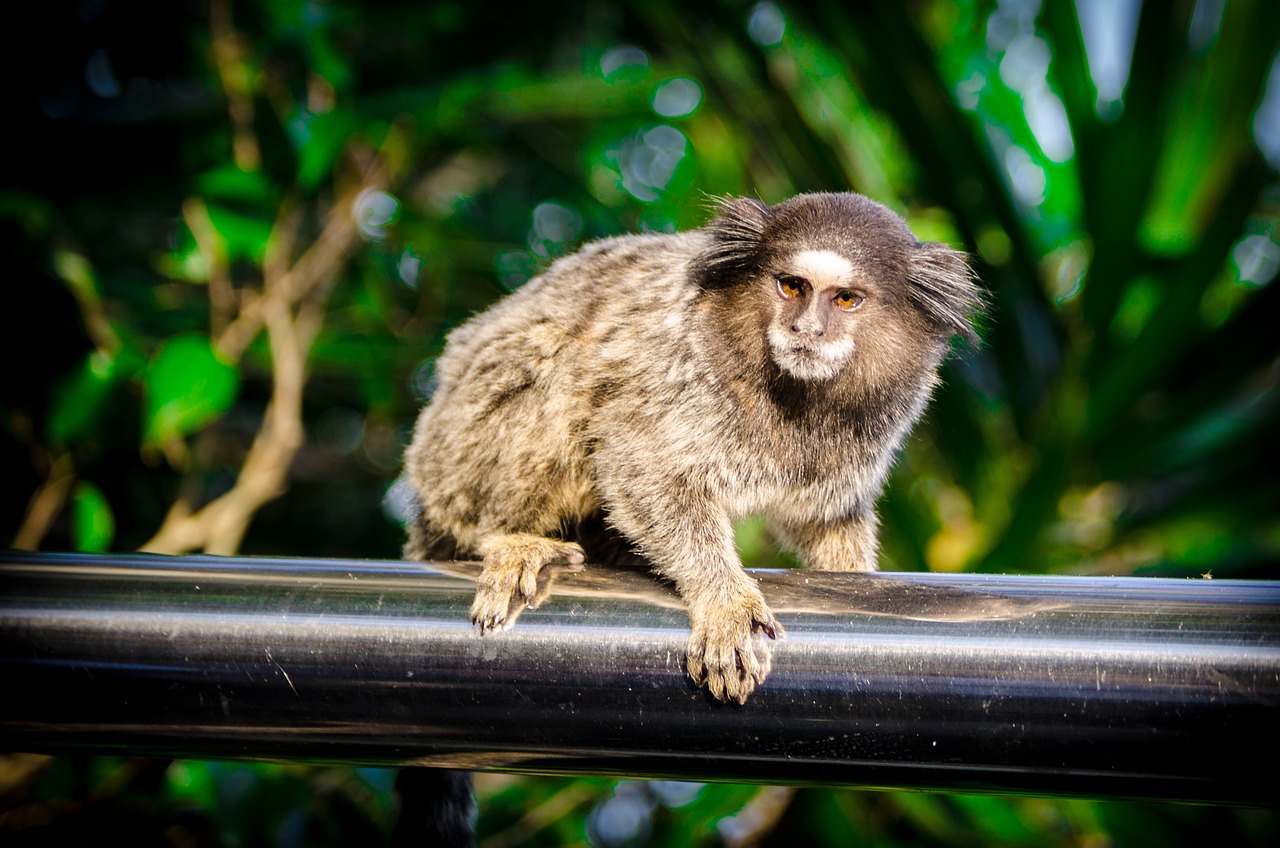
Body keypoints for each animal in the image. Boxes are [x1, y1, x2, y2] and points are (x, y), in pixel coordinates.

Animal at [404, 192, 983, 701]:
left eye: (845, 298)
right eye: (791, 286)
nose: (806, 329)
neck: (797, 396)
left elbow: (825, 519)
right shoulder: (677, 367)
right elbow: (644, 470)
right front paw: (724, 601)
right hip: (453, 456)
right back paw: (510, 538)